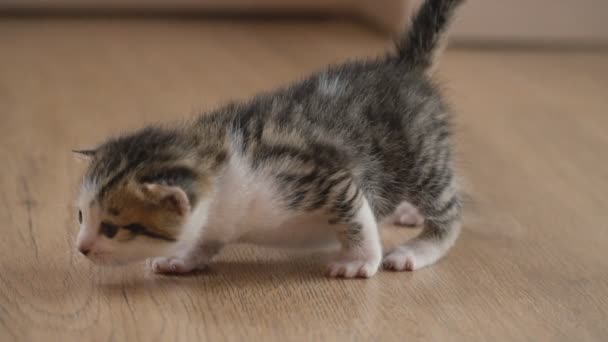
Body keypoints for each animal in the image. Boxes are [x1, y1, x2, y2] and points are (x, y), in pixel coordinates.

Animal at [76, 0, 466, 278]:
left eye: (110, 228)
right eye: (80, 216)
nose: (81, 248)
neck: (217, 164)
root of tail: (402, 67)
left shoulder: (322, 175)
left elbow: (358, 218)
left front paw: (360, 260)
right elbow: (205, 239)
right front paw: (185, 258)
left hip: (422, 157)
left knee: (450, 211)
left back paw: (418, 248)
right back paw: (406, 213)